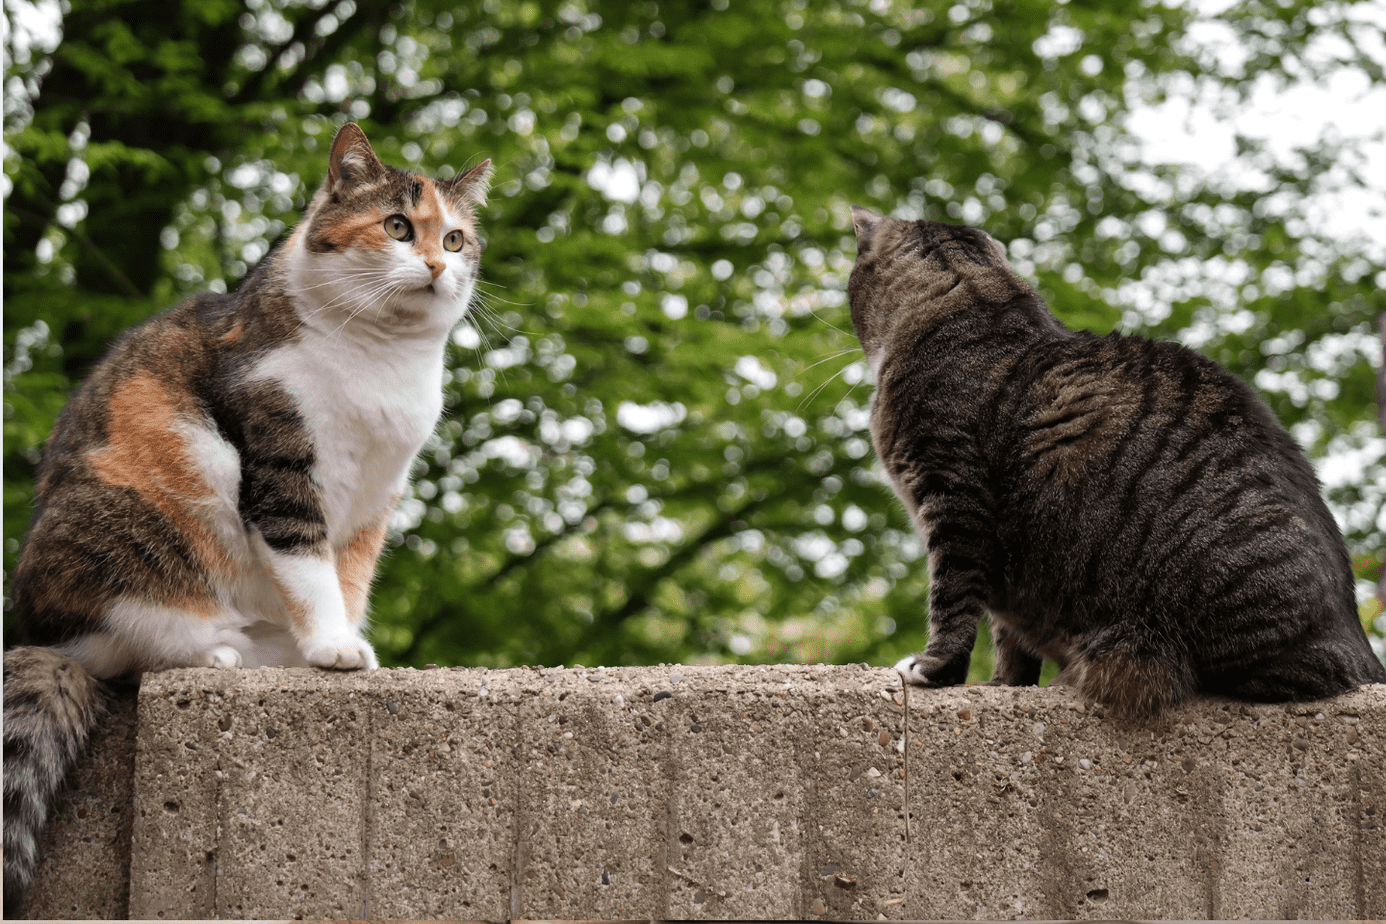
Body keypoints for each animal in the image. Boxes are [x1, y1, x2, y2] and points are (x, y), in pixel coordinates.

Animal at [2, 121, 493, 908]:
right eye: (396, 226)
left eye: (454, 238)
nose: (436, 267)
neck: (385, 362)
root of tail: (35, 632)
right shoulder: (280, 464)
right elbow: (307, 565)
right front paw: (333, 649)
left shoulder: (376, 499)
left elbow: (349, 579)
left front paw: (341, 643)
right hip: (151, 501)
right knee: (122, 643)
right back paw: (223, 650)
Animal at [848, 207, 1380, 720]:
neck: (973, 307)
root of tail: (1362, 658)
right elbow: (1009, 641)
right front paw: (1002, 685)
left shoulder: (955, 498)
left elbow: (953, 600)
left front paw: (937, 669)